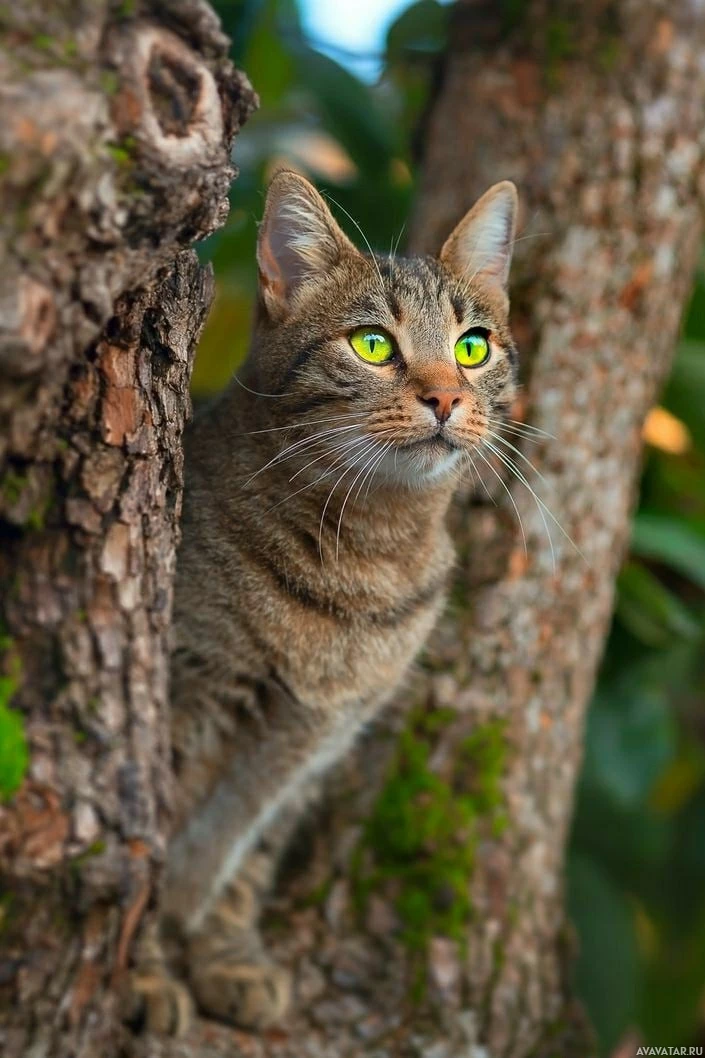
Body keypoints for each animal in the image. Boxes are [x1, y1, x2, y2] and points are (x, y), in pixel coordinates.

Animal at [130, 171, 516, 1032]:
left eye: (471, 347)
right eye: (372, 344)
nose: (446, 397)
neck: (365, 563)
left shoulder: (318, 737)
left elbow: (239, 859)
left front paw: (226, 956)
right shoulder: (187, 692)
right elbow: (150, 844)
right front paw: (145, 975)